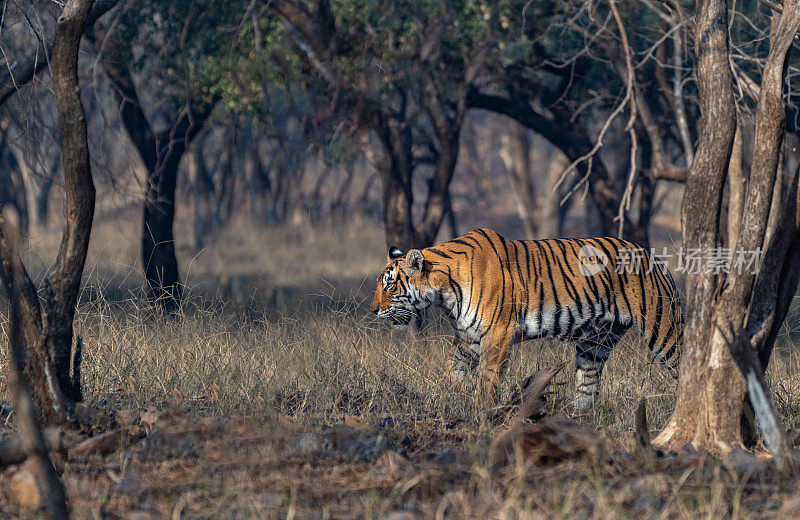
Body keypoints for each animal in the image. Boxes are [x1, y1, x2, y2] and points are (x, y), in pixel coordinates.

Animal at [368, 228, 680, 410]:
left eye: (390, 285)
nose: (373, 310)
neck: (444, 290)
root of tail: (655, 258)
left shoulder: (497, 333)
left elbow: (488, 377)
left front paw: (483, 412)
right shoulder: (468, 338)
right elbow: (452, 370)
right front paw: (452, 395)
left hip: (662, 329)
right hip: (596, 341)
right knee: (587, 386)